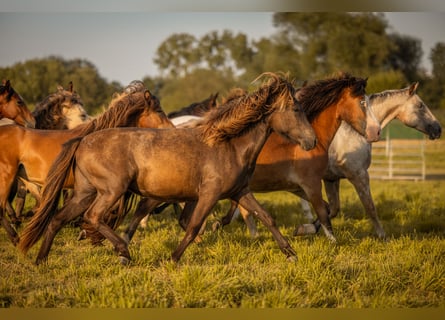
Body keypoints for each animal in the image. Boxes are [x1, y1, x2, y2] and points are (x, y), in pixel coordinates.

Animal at [18, 72, 316, 264]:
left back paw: (41, 260)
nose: (311, 141)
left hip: (85, 192)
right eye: (296, 109)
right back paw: (123, 251)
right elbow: (193, 226)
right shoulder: (208, 194)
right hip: (111, 191)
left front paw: (291, 254)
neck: (228, 144)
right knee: (92, 218)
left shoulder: (239, 192)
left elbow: (267, 218)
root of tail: (82, 140)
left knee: (57, 219)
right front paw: (172, 258)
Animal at [294, 82, 440, 238]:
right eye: (420, 105)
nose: (438, 129)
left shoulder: (331, 178)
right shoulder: (359, 175)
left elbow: (332, 210)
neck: (354, 132)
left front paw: (304, 229)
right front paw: (383, 236)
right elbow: (370, 207)